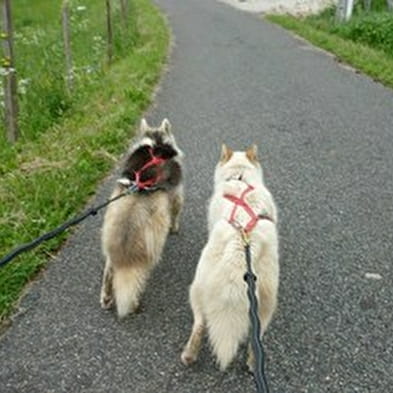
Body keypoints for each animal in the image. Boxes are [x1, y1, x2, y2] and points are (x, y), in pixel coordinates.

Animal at [181, 145, 278, 370]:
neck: (240, 177)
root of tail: (239, 249)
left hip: (197, 286)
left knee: (200, 322)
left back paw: (189, 354)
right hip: (267, 299)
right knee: (257, 334)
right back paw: (253, 362)